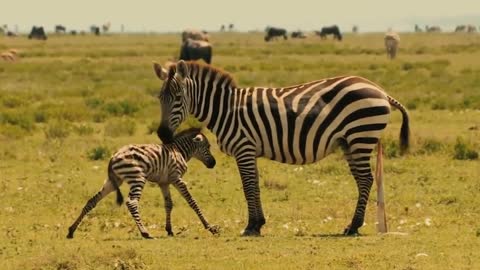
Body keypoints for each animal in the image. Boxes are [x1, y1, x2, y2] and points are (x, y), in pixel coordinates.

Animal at [66, 128, 218, 238]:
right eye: (208, 146)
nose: (213, 164)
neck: (179, 151)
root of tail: (113, 157)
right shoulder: (177, 178)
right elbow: (192, 202)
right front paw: (210, 227)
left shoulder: (164, 182)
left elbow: (168, 204)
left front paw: (169, 230)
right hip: (137, 178)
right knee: (131, 202)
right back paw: (145, 232)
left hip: (113, 181)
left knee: (92, 200)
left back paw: (71, 230)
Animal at [154, 60, 408, 235]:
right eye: (159, 98)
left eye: (178, 98)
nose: (163, 135)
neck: (226, 110)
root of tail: (380, 90)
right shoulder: (250, 151)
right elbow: (255, 186)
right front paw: (259, 223)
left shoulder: (244, 148)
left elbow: (248, 187)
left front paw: (251, 226)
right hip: (351, 141)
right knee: (362, 179)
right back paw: (354, 224)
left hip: (360, 136)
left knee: (365, 179)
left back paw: (353, 226)